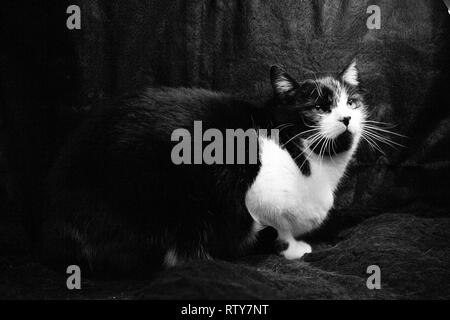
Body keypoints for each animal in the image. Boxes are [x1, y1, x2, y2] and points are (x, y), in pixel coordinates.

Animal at [41, 61, 366, 276]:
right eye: (319, 108)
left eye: (352, 103)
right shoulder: (254, 193)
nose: (347, 118)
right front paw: (293, 248)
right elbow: (277, 226)